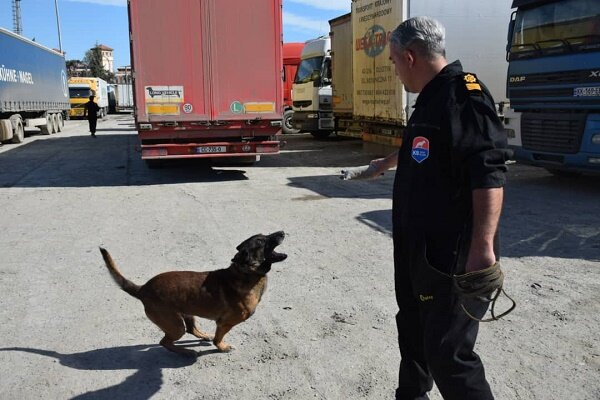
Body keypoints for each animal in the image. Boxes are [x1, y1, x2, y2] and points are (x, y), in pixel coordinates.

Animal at [99, 231, 288, 356]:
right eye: (262, 241)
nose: (282, 232)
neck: (246, 272)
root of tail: (143, 289)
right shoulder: (224, 323)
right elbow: (218, 339)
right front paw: (222, 347)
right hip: (175, 326)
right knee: (165, 342)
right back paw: (185, 351)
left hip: (187, 313)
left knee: (191, 329)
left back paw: (202, 336)